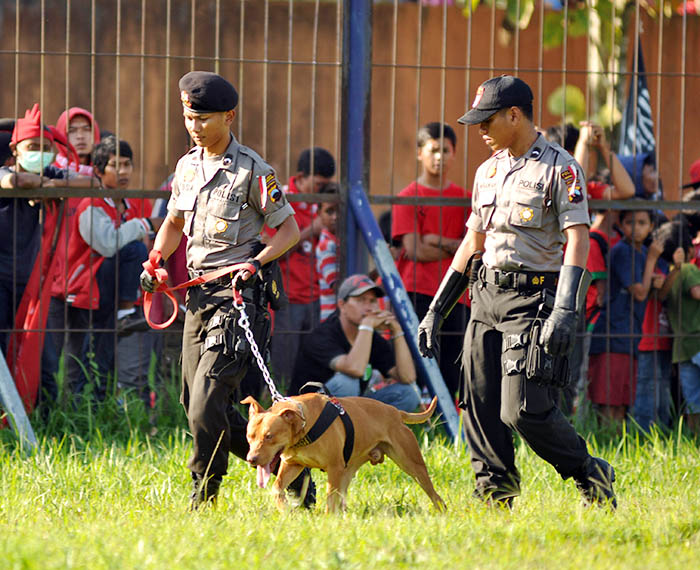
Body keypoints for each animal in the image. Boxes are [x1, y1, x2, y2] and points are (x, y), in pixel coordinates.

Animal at [243, 390, 446, 510]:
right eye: (249, 436)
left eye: (269, 436)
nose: (251, 459)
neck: (303, 425)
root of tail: (396, 412)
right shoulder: (292, 465)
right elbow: (277, 488)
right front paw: (284, 506)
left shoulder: (334, 468)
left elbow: (330, 498)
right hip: (349, 469)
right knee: (342, 496)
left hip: (412, 464)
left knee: (433, 493)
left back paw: (441, 510)